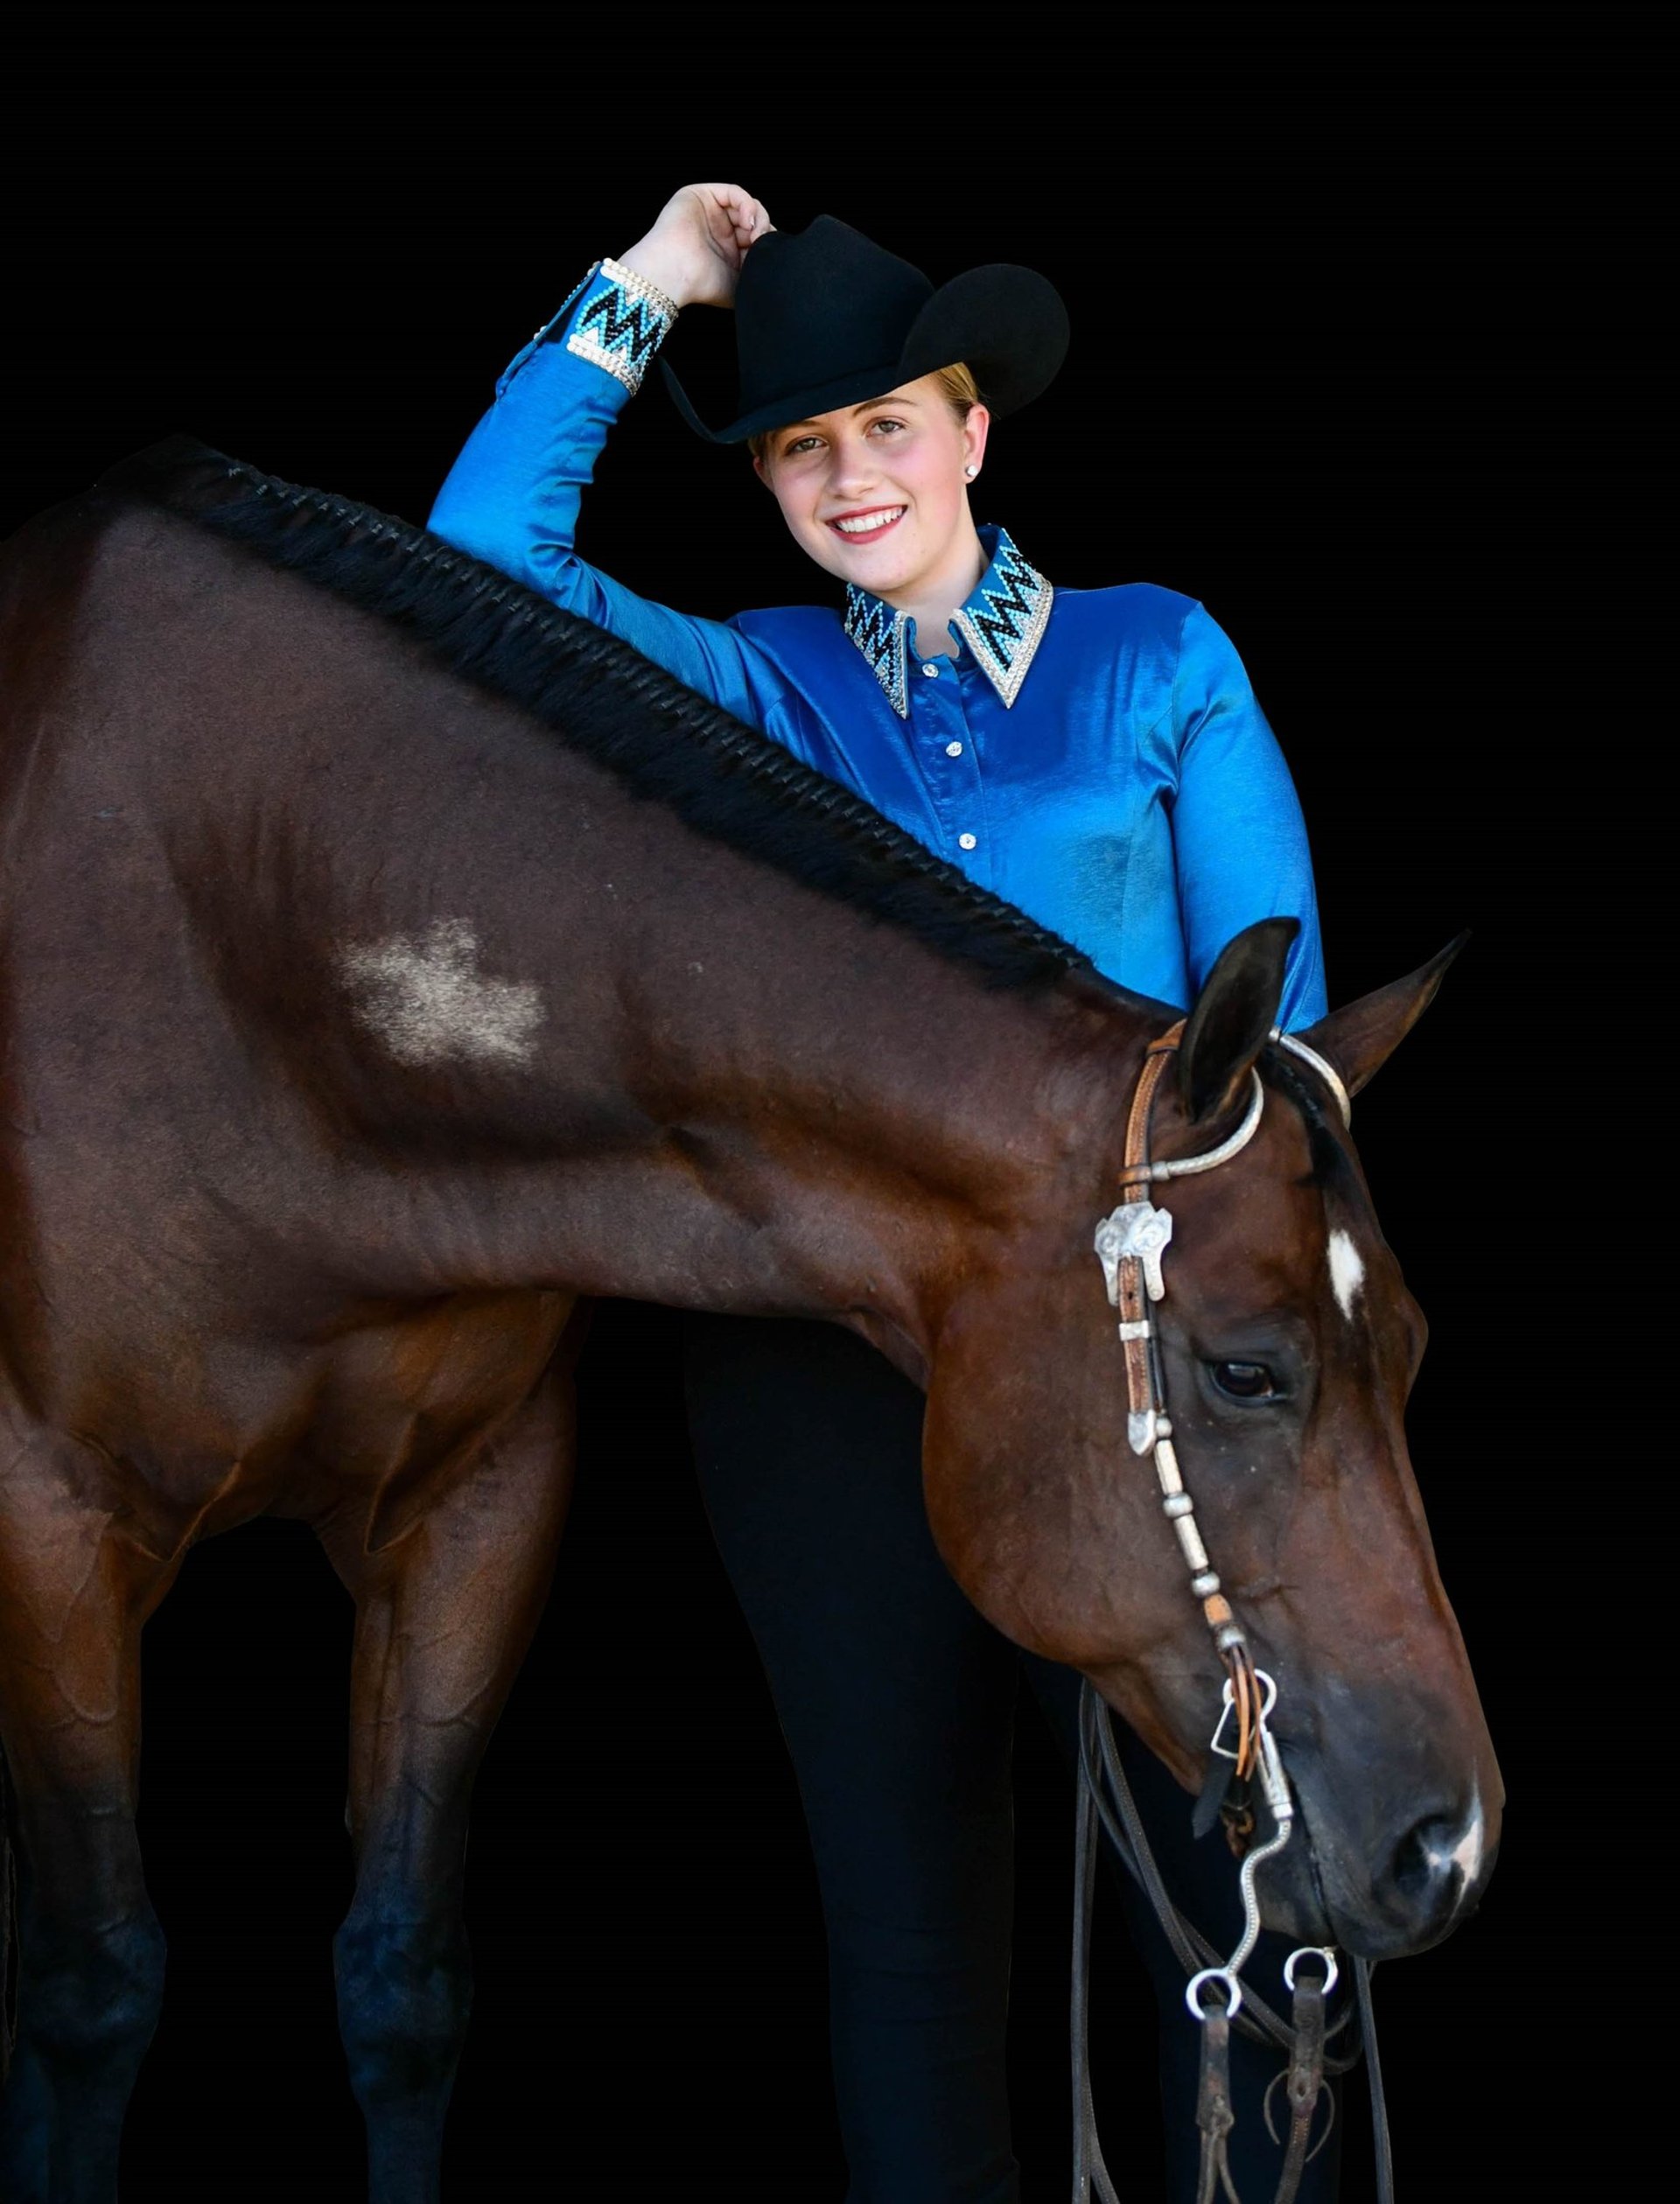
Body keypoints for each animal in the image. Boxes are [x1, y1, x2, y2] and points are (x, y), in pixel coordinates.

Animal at [0, 438, 1490, 2194]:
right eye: (1247, 1371)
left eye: (1411, 1352)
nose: (1450, 1843)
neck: (247, 938)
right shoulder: (49, 1521)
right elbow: (88, 1989)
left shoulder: (478, 1505)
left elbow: (401, 1976)